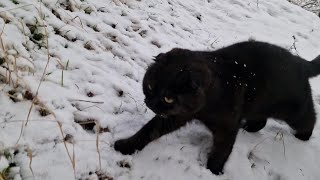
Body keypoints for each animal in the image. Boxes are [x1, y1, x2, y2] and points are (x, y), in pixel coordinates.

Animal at [114, 41, 318, 175]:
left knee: (310, 118)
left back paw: (303, 136)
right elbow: (148, 131)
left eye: (168, 98)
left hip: (293, 112)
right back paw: (250, 128)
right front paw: (125, 146)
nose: (150, 102)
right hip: (258, 105)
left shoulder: (227, 128)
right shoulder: (176, 116)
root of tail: (300, 62)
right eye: (149, 85)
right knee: (260, 120)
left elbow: (222, 150)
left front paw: (213, 171)